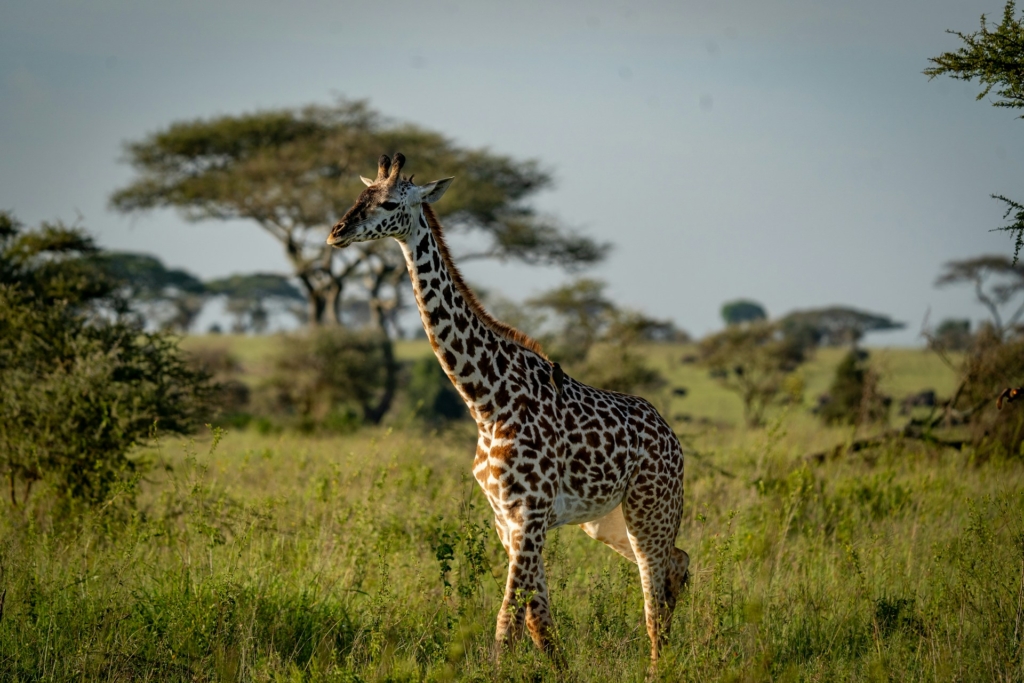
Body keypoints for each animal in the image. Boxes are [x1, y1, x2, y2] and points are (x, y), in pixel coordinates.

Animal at [327, 153, 689, 664]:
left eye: (391, 202)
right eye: (359, 195)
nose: (336, 232)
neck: (485, 401)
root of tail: (671, 436)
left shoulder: (529, 513)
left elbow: (507, 623)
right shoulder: (506, 519)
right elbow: (538, 619)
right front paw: (559, 669)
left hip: (649, 505)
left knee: (654, 584)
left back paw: (659, 665)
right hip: (604, 521)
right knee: (677, 562)